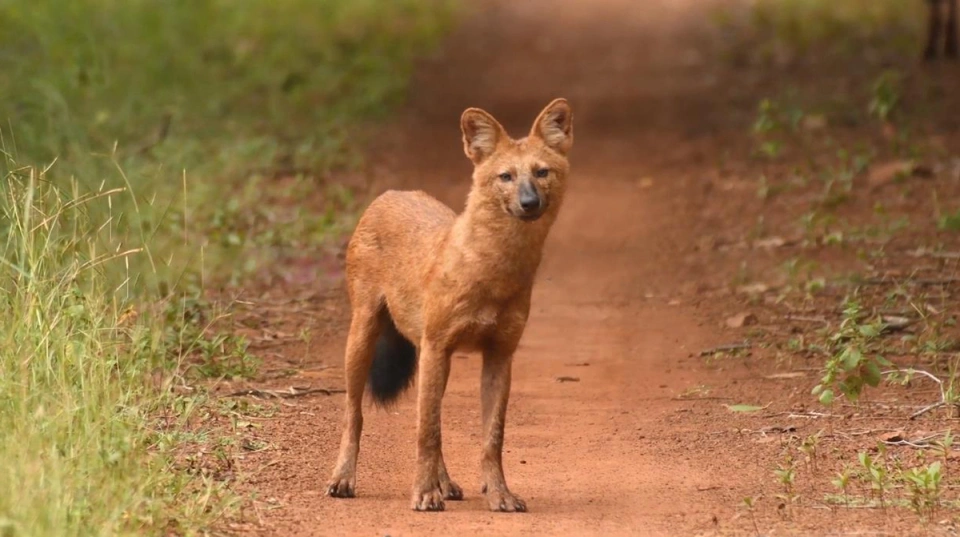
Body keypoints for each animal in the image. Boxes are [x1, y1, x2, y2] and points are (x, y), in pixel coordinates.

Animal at [326, 97, 572, 510]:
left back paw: (446, 483)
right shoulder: (436, 345)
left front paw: (500, 494)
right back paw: (344, 479)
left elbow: (492, 437)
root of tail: (391, 193)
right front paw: (424, 493)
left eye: (542, 172)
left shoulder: (499, 354)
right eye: (505, 176)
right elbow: (427, 431)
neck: (495, 270)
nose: (529, 202)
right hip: (364, 335)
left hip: (435, 357)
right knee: (354, 414)